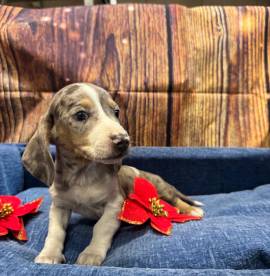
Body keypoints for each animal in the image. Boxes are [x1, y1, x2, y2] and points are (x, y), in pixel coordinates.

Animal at [22, 83, 202, 266]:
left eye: (116, 112)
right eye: (81, 115)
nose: (123, 140)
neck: (83, 175)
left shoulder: (115, 204)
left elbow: (101, 227)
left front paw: (91, 253)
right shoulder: (59, 206)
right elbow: (55, 231)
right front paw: (49, 254)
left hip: (160, 190)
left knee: (176, 200)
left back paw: (192, 210)